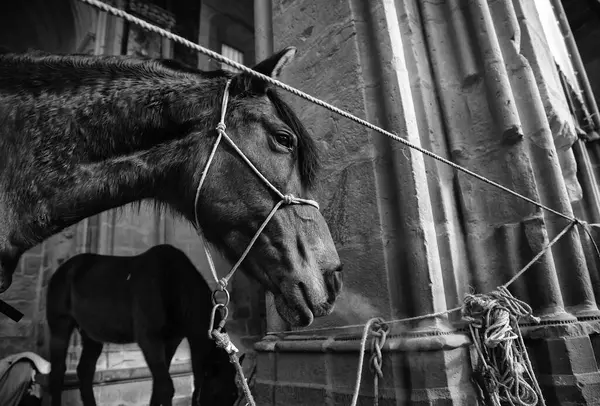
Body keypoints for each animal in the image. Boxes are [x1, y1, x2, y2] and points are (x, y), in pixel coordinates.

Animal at [45, 244, 246, 406]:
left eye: (234, 395)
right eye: (216, 394)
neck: (172, 284)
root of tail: (65, 268)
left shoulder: (170, 341)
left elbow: (158, 385)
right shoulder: (149, 339)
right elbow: (165, 387)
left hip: (91, 335)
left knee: (85, 371)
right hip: (60, 326)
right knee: (57, 372)